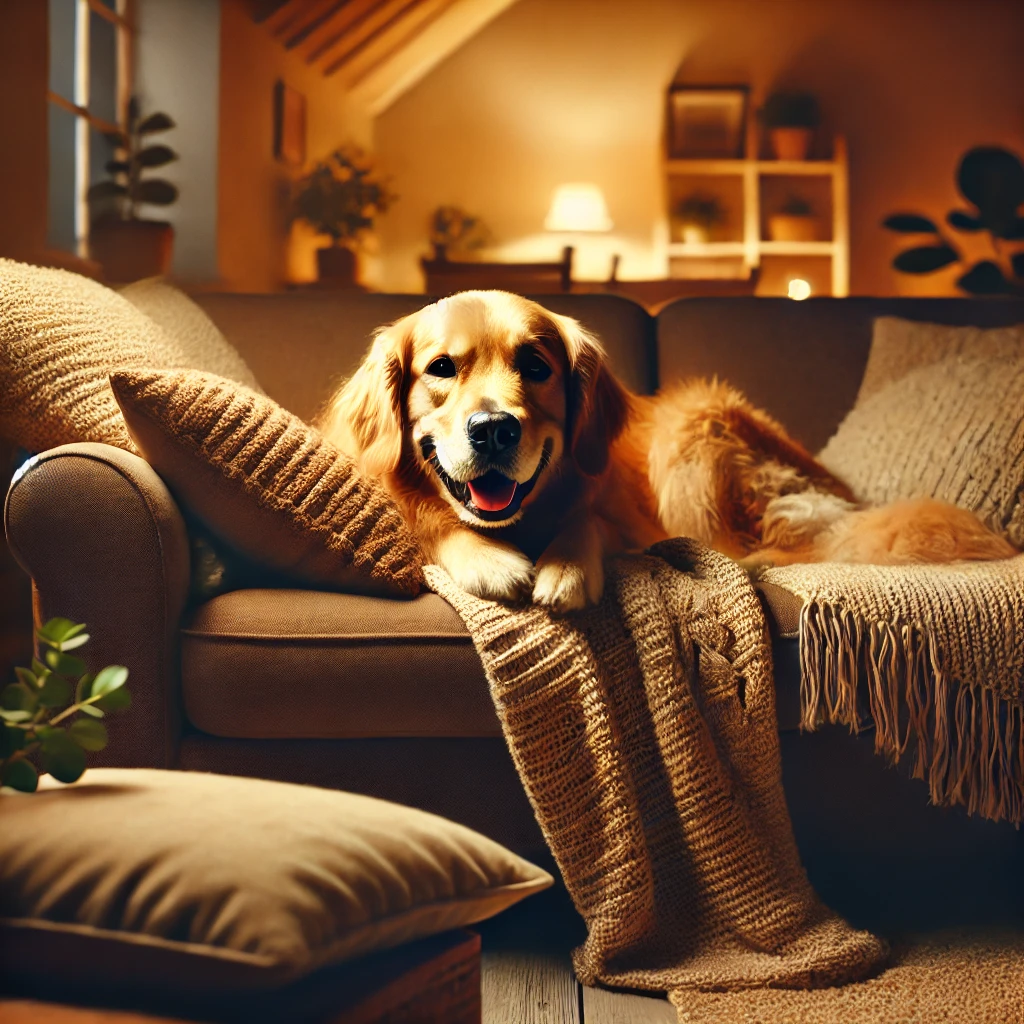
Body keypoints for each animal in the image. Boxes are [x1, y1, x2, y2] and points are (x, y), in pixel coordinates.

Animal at [321, 290, 1015, 606]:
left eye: (536, 366)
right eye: (441, 368)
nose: (493, 428)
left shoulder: (618, 513)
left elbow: (586, 522)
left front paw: (566, 566)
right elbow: (424, 518)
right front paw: (485, 559)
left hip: (691, 425)